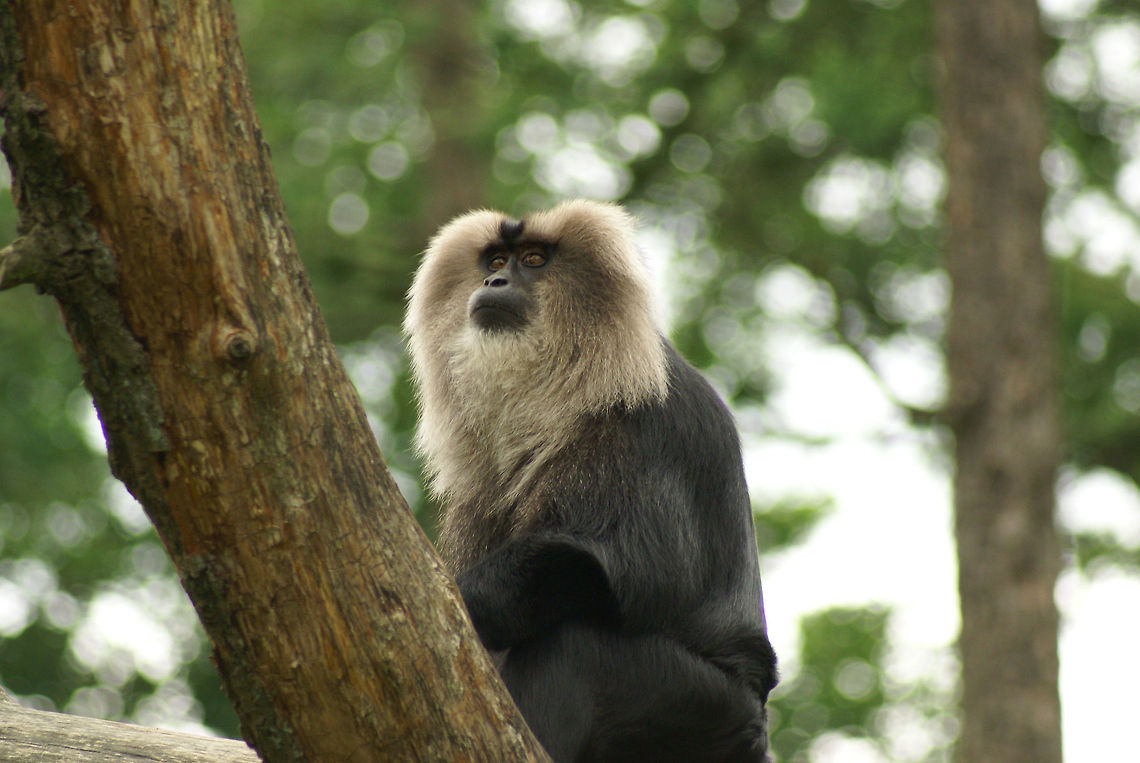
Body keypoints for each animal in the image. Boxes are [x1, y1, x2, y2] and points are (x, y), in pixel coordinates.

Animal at [405, 200, 777, 762]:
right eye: (496, 259)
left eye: (534, 260)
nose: (493, 281)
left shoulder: (640, 432)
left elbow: (635, 571)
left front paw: (462, 598)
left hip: (699, 709)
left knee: (575, 642)